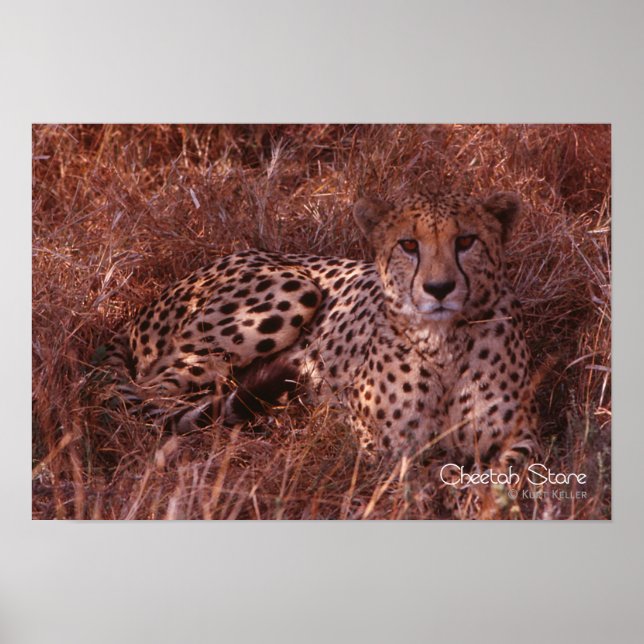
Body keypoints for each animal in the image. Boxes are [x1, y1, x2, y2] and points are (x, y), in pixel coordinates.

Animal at [101, 190, 540, 467]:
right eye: (409, 245)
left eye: (466, 241)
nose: (439, 288)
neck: (443, 342)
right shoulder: (381, 445)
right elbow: (423, 474)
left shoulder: (523, 437)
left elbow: (507, 475)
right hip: (294, 290)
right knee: (149, 394)